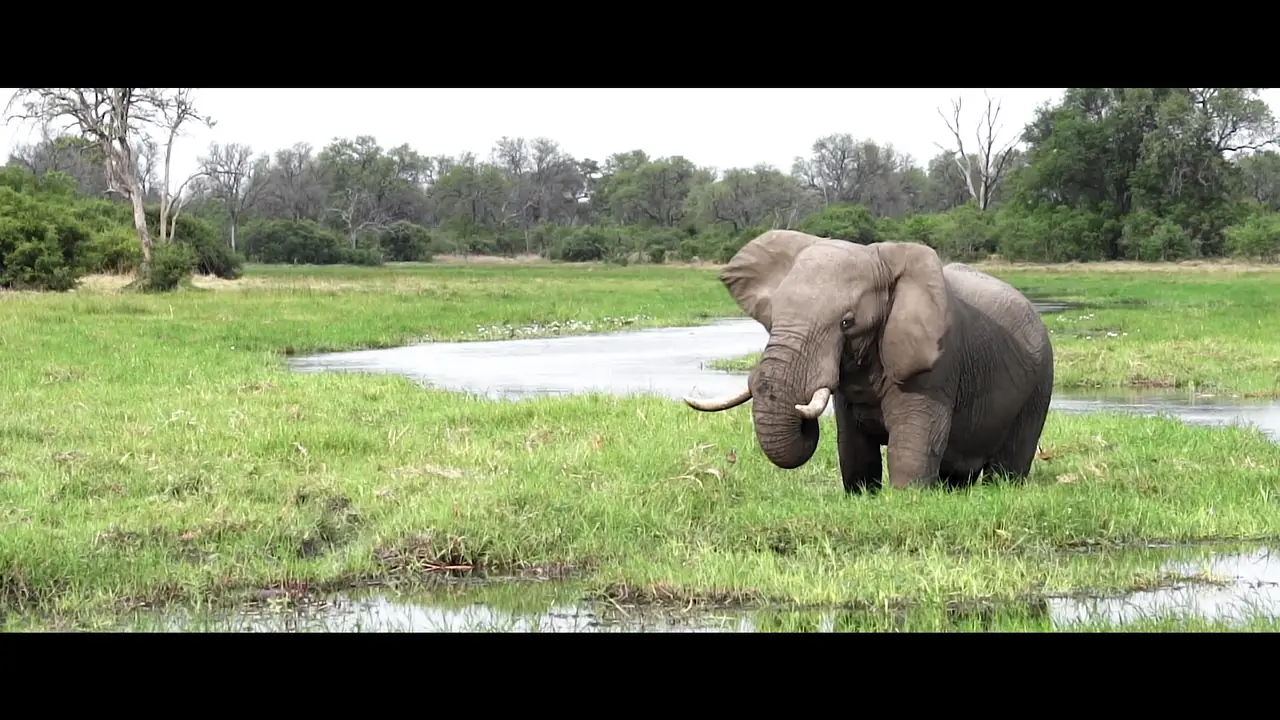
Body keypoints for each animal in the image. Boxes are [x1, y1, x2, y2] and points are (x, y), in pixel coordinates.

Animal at [684, 229, 1054, 493]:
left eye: (847, 323)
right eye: (773, 317)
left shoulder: (936, 365)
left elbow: (913, 447)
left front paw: (907, 499)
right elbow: (853, 446)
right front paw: (862, 495)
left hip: (1039, 384)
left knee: (1008, 465)